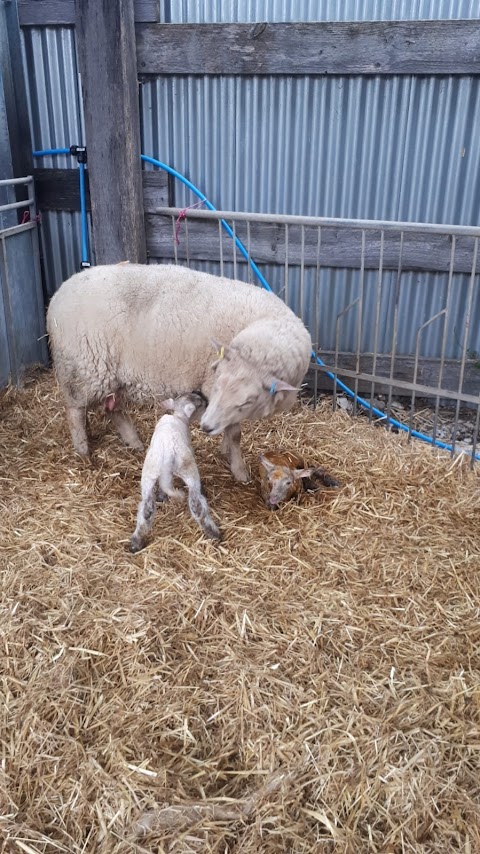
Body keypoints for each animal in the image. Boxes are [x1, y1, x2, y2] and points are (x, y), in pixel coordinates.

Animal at [131, 394, 221, 556]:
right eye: (200, 403)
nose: (206, 401)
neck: (178, 416)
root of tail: (167, 451)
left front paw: (162, 496)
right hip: (188, 468)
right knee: (196, 505)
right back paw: (214, 534)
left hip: (149, 474)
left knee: (146, 509)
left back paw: (136, 543)